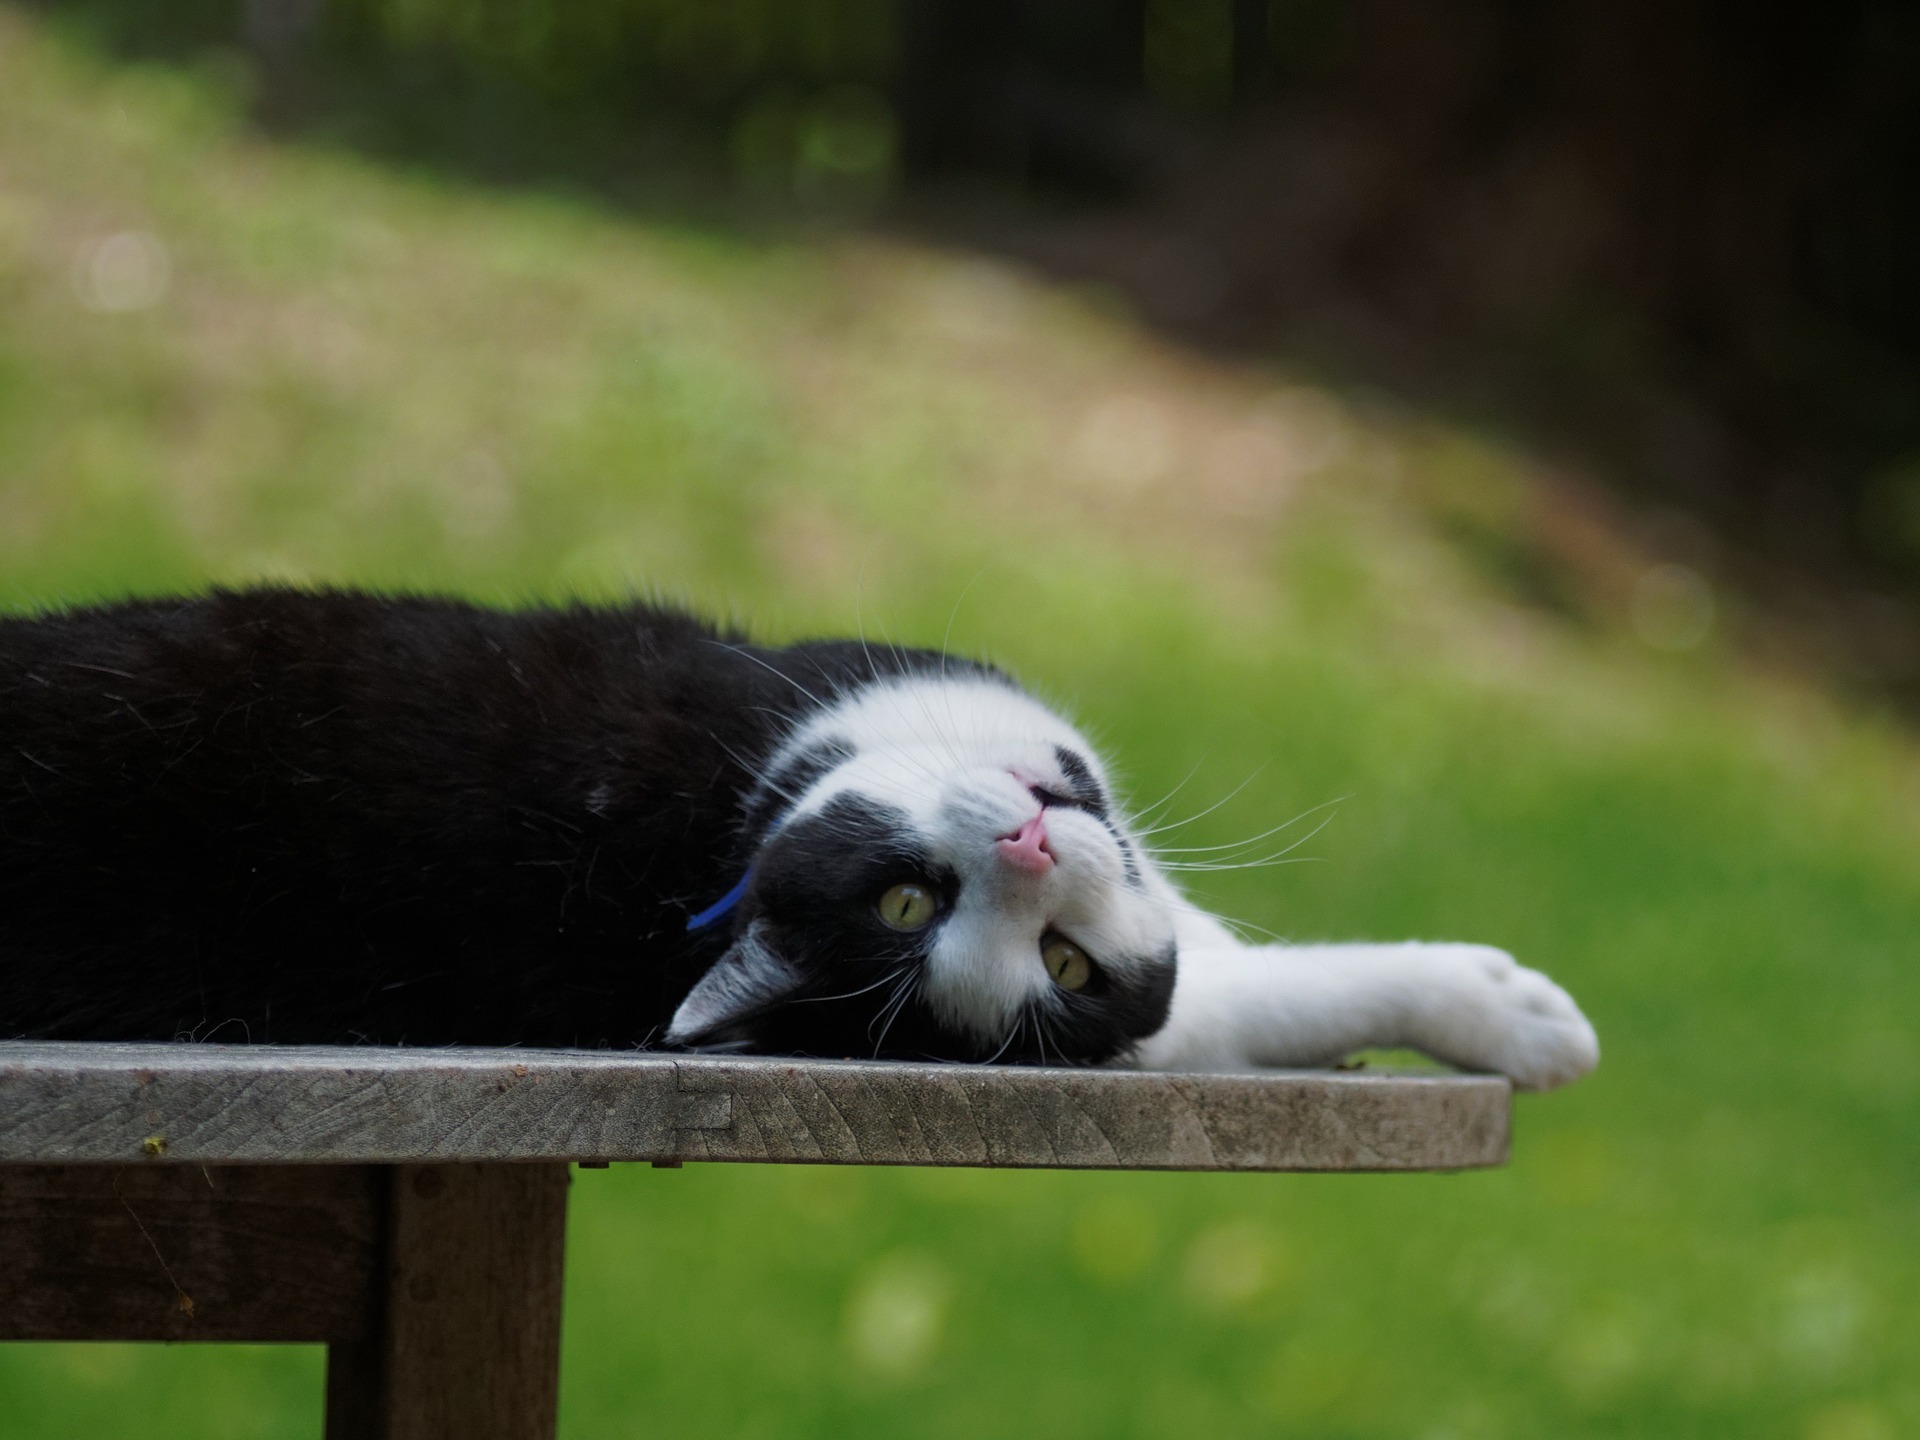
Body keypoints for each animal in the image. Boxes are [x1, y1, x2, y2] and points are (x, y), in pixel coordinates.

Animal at [0, 591, 1589, 1090]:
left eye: (1066, 967)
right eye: (910, 911)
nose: (1030, 849)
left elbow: (1250, 992)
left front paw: (1507, 1017)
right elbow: (1255, 985)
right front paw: (1528, 1014)